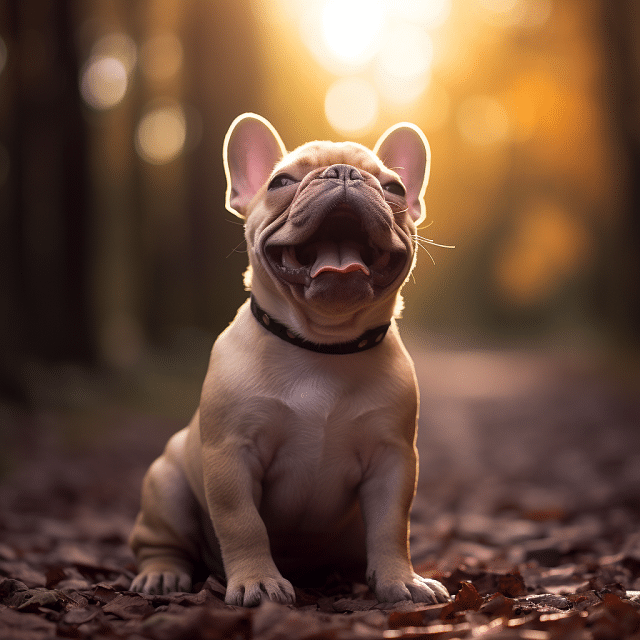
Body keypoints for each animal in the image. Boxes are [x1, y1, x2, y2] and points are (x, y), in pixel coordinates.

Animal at [129, 112, 450, 608]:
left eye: (394, 188)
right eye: (281, 181)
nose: (343, 172)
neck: (322, 345)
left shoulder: (392, 460)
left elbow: (392, 526)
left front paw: (401, 580)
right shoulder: (232, 455)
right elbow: (242, 522)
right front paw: (257, 582)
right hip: (167, 484)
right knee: (159, 542)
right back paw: (161, 574)